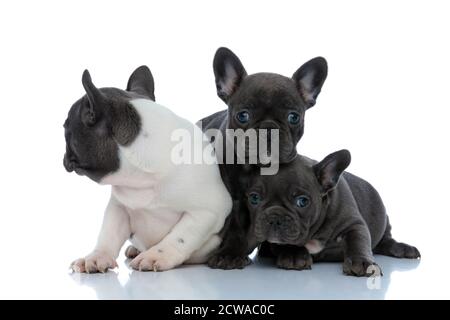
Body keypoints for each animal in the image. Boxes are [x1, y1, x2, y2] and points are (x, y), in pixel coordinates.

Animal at [63, 67, 232, 272]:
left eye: (65, 128)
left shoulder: (208, 211)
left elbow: (181, 235)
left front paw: (156, 255)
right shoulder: (119, 207)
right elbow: (109, 233)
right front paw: (96, 257)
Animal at [198, 47, 326, 268]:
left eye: (294, 117)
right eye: (243, 115)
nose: (268, 128)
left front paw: (291, 252)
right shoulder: (234, 199)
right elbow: (235, 226)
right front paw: (230, 254)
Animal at [244, 151, 420, 276]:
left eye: (302, 201)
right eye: (254, 198)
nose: (273, 218)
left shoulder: (354, 224)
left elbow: (358, 241)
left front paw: (363, 262)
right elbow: (287, 242)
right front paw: (293, 255)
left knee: (386, 241)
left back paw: (403, 249)